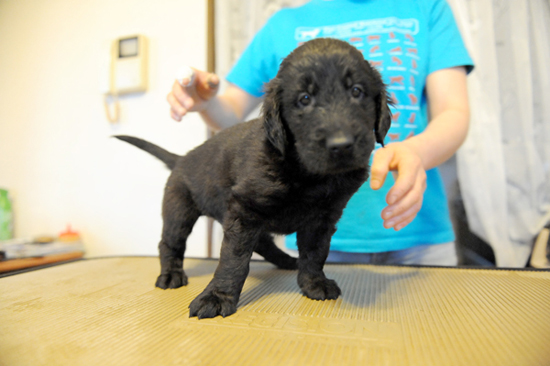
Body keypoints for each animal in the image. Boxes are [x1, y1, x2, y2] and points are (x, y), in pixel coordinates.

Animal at [116, 38, 392, 318]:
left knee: (263, 244)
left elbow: (315, 252)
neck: (306, 171)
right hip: (179, 209)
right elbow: (233, 258)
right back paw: (171, 274)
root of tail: (181, 158)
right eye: (304, 99)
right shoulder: (244, 209)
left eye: (356, 91)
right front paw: (217, 297)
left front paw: (314, 283)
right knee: (170, 242)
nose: (341, 145)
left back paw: (286, 261)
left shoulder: (322, 217)